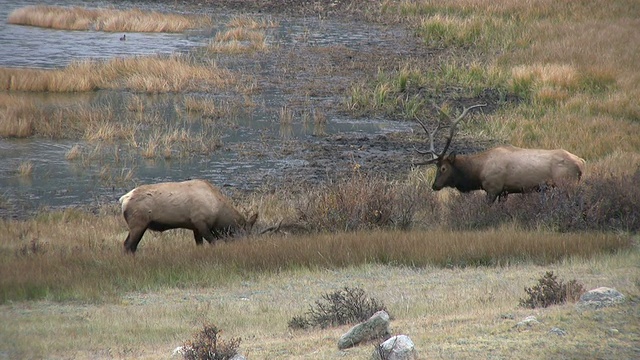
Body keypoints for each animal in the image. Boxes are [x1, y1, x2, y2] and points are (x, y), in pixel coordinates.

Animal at [119, 179, 258, 253]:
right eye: (244, 233)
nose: (248, 246)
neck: (218, 212)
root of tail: (124, 199)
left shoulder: (195, 227)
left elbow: (199, 244)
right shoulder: (200, 222)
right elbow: (213, 242)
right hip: (138, 224)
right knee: (129, 245)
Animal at [416, 105, 584, 204]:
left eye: (443, 168)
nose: (435, 185)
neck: (478, 171)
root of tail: (581, 162)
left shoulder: (493, 188)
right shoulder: (504, 191)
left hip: (566, 183)